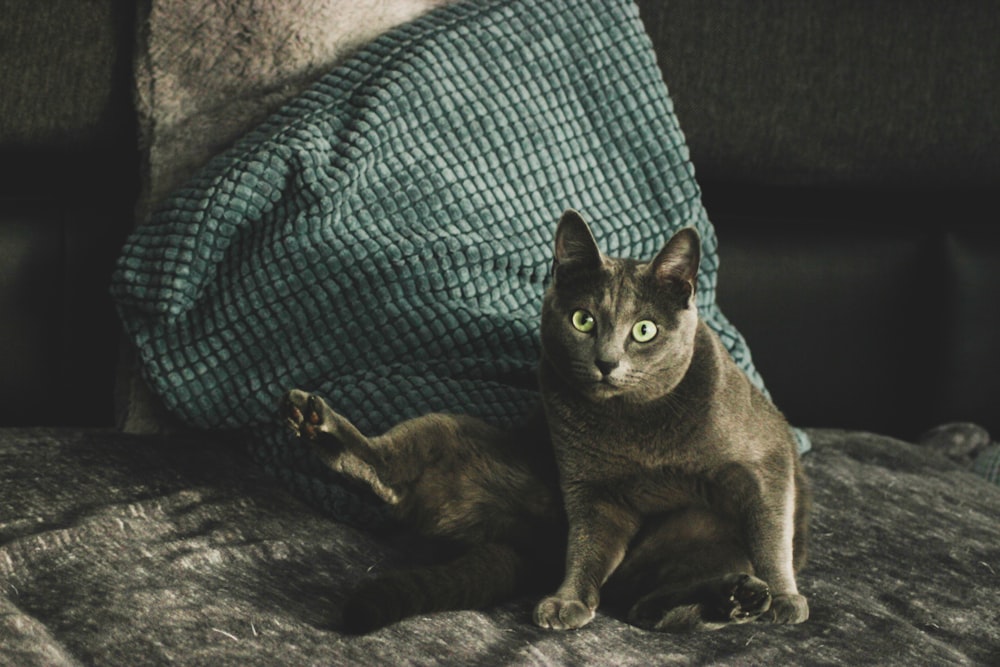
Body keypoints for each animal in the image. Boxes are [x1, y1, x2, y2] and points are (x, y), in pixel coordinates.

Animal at [278, 209, 808, 632]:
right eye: (583, 320)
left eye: (644, 330)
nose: (607, 362)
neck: (636, 422)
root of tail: (528, 553)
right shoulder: (589, 488)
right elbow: (588, 544)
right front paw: (568, 600)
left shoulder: (766, 461)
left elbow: (770, 531)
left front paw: (786, 598)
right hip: (446, 429)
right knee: (387, 473)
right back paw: (316, 423)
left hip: (708, 535)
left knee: (656, 609)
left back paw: (740, 597)